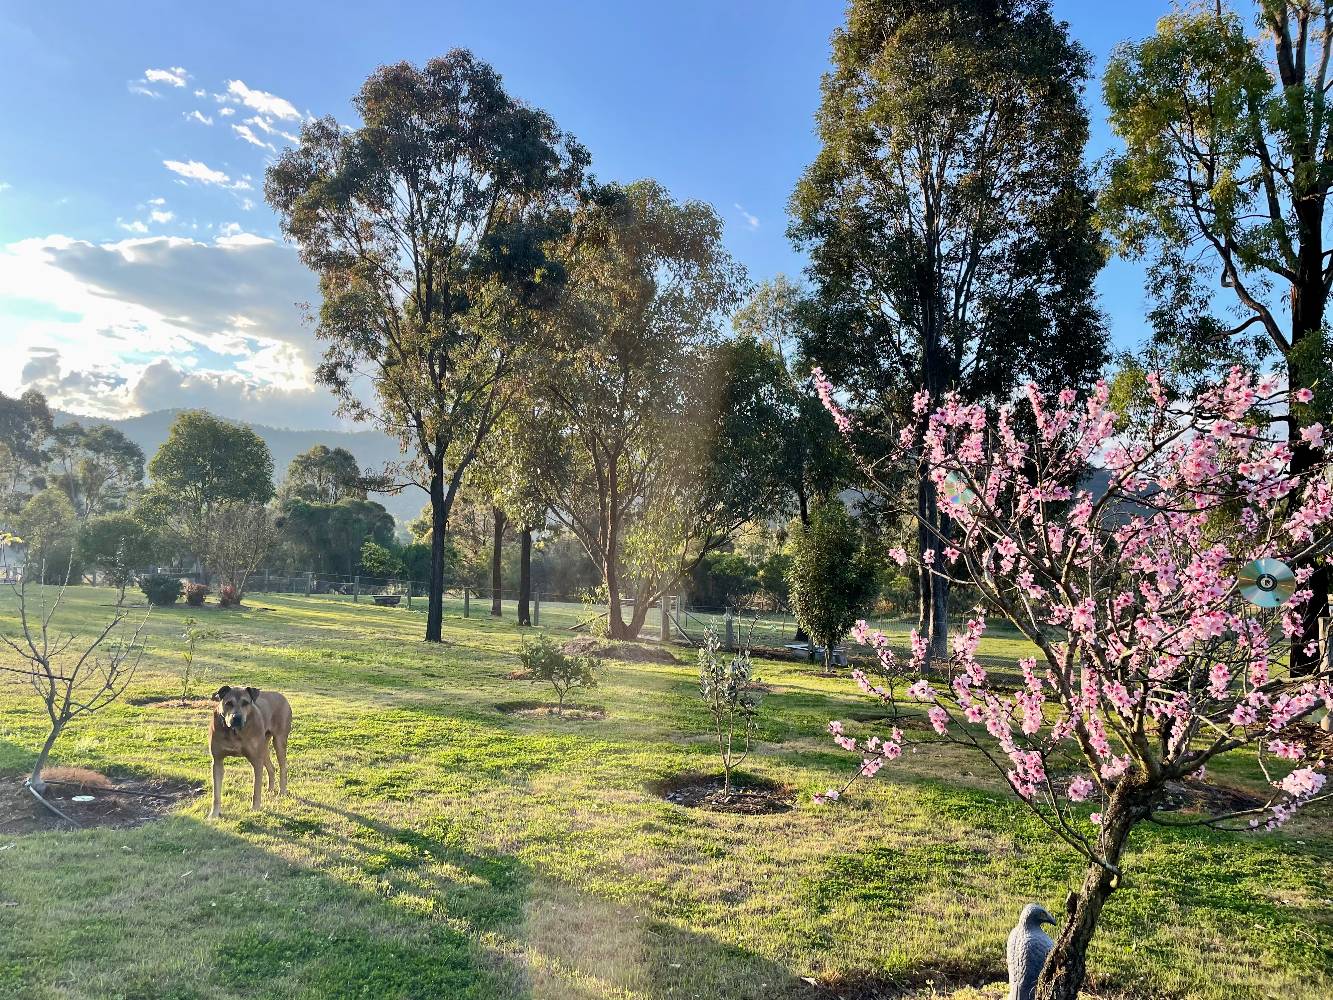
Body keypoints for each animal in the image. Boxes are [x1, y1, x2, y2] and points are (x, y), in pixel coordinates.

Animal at [207, 688, 291, 821]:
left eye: (246, 703)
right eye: (228, 703)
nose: (236, 718)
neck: (234, 732)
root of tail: (282, 696)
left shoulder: (256, 760)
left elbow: (256, 789)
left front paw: (255, 809)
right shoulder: (217, 760)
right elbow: (216, 793)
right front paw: (214, 814)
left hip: (279, 740)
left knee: (283, 767)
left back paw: (282, 792)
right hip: (264, 746)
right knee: (271, 768)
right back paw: (270, 790)